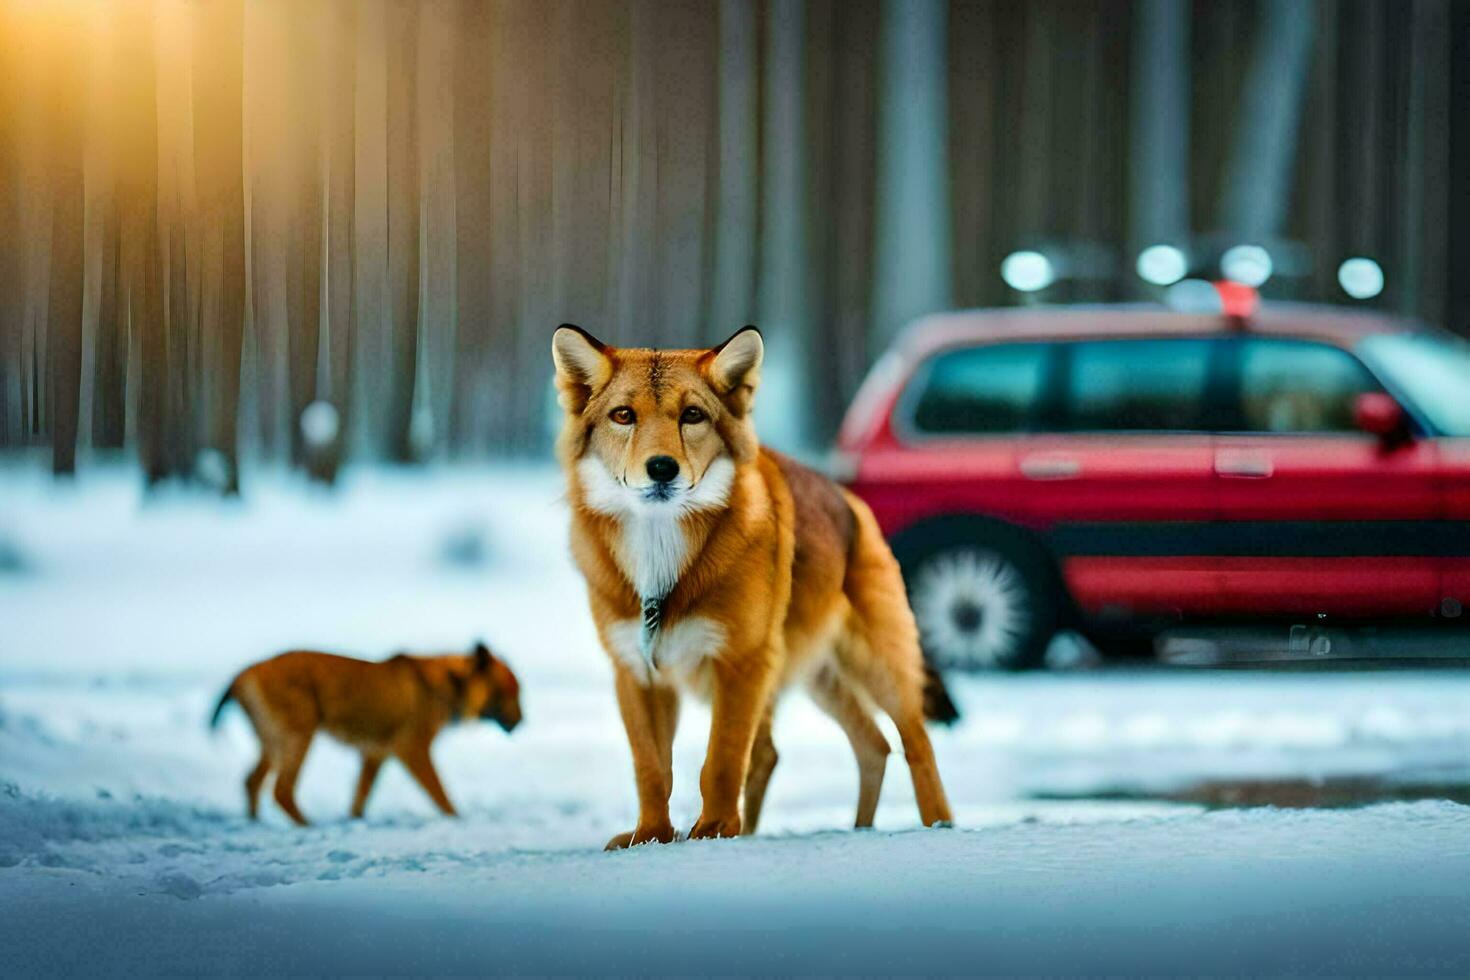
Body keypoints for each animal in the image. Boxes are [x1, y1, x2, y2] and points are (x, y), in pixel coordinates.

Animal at [210, 643, 523, 828]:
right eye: (510, 692)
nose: (522, 722)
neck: (448, 687)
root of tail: (247, 671)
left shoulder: (375, 753)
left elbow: (360, 797)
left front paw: (354, 822)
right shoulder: (411, 748)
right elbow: (441, 795)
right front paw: (459, 820)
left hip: (272, 743)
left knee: (251, 781)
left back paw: (255, 824)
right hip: (299, 736)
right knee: (281, 790)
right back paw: (308, 826)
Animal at [552, 326, 952, 846]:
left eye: (692, 415)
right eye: (623, 415)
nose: (662, 468)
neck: (662, 568)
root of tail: (847, 498)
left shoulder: (741, 662)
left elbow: (721, 760)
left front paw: (714, 829)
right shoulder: (636, 671)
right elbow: (652, 769)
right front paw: (651, 835)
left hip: (875, 666)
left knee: (915, 741)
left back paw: (938, 826)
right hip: (820, 677)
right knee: (868, 745)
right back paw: (856, 830)